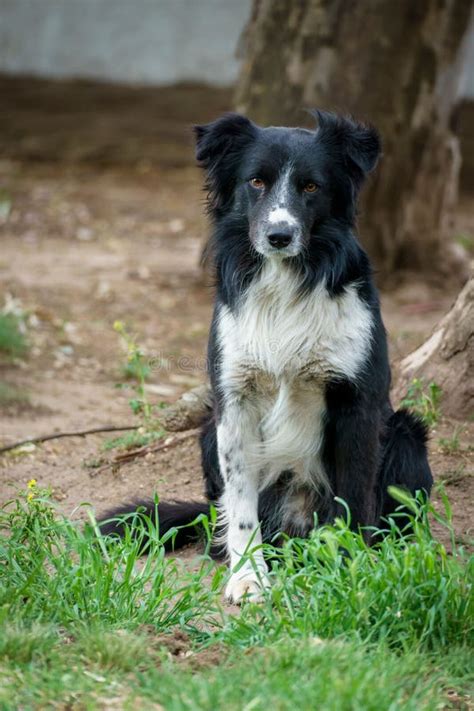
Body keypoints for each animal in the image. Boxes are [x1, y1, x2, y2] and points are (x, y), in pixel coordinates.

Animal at [101, 114, 434, 604]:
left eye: (311, 186)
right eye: (256, 181)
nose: (279, 236)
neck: (284, 282)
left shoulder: (357, 402)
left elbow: (354, 497)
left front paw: (350, 569)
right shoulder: (234, 401)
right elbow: (241, 505)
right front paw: (249, 577)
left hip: (406, 434)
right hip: (207, 433)